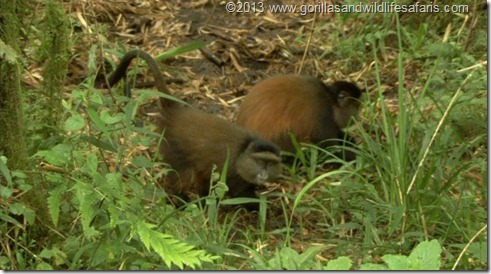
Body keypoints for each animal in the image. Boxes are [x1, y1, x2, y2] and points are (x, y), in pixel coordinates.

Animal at [109, 50, 282, 207]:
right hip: (174, 150)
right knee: (182, 175)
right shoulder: (234, 172)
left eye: (270, 163)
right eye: (260, 161)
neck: (244, 150)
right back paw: (182, 199)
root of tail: (176, 113)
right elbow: (240, 193)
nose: (263, 173)